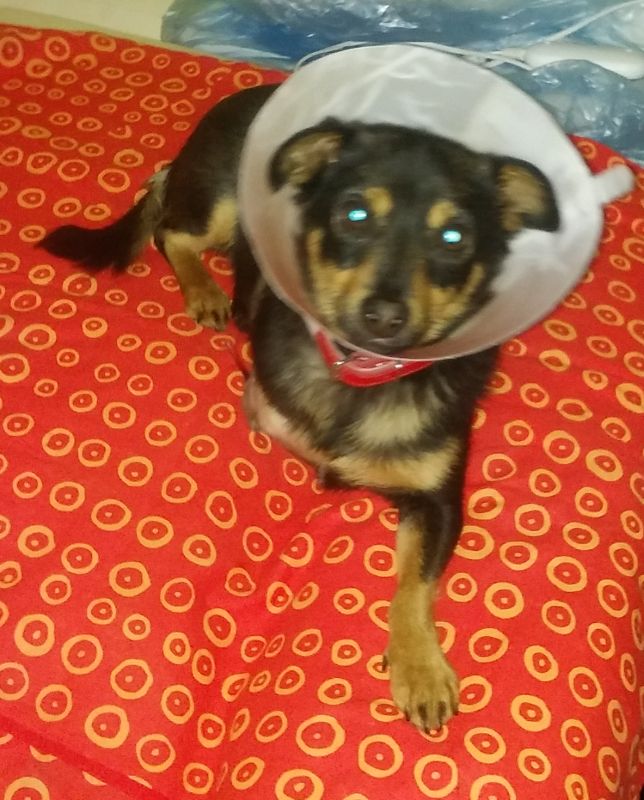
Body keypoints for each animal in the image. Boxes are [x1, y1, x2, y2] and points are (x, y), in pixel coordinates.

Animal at [40, 83, 559, 733]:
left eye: (454, 238)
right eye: (354, 215)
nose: (383, 316)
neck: (360, 372)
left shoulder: (438, 501)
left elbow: (415, 585)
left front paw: (419, 667)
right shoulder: (265, 408)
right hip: (222, 201)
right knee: (171, 232)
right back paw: (205, 292)